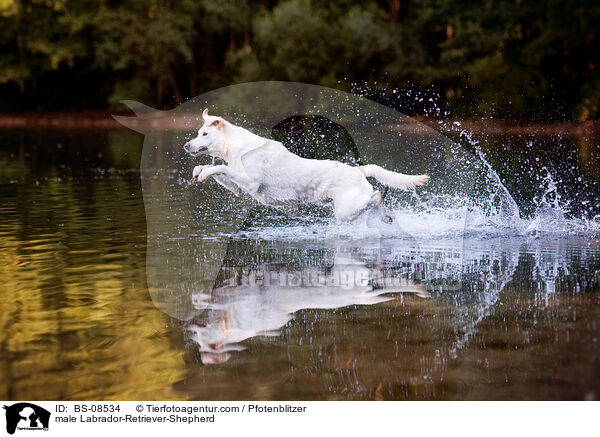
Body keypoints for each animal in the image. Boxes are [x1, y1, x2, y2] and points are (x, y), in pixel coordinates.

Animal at [182, 110, 426, 221]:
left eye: (205, 134)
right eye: (198, 133)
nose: (186, 145)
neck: (238, 147)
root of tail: (358, 170)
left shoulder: (251, 183)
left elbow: (220, 168)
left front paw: (203, 172)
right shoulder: (238, 188)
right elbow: (214, 170)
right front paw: (199, 172)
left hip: (345, 211)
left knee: (376, 195)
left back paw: (384, 213)